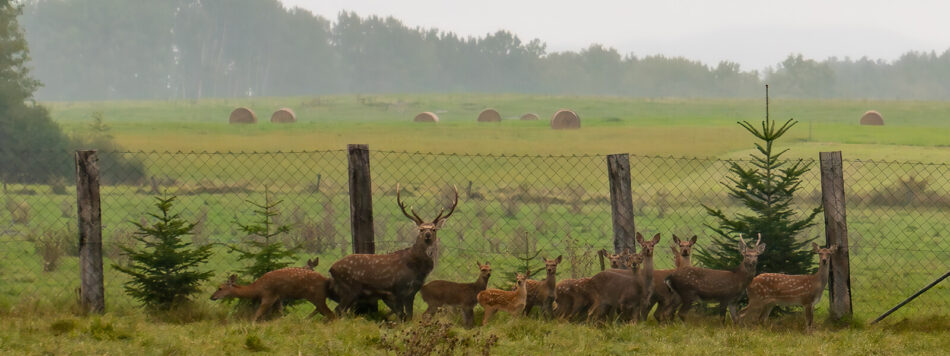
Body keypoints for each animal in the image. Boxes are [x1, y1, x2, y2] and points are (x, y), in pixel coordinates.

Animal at [330, 185, 460, 322]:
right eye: (421, 229)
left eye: (434, 229)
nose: (428, 234)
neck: (417, 268)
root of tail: (331, 269)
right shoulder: (397, 289)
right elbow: (401, 315)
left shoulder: (412, 292)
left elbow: (409, 315)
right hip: (350, 288)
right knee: (338, 310)